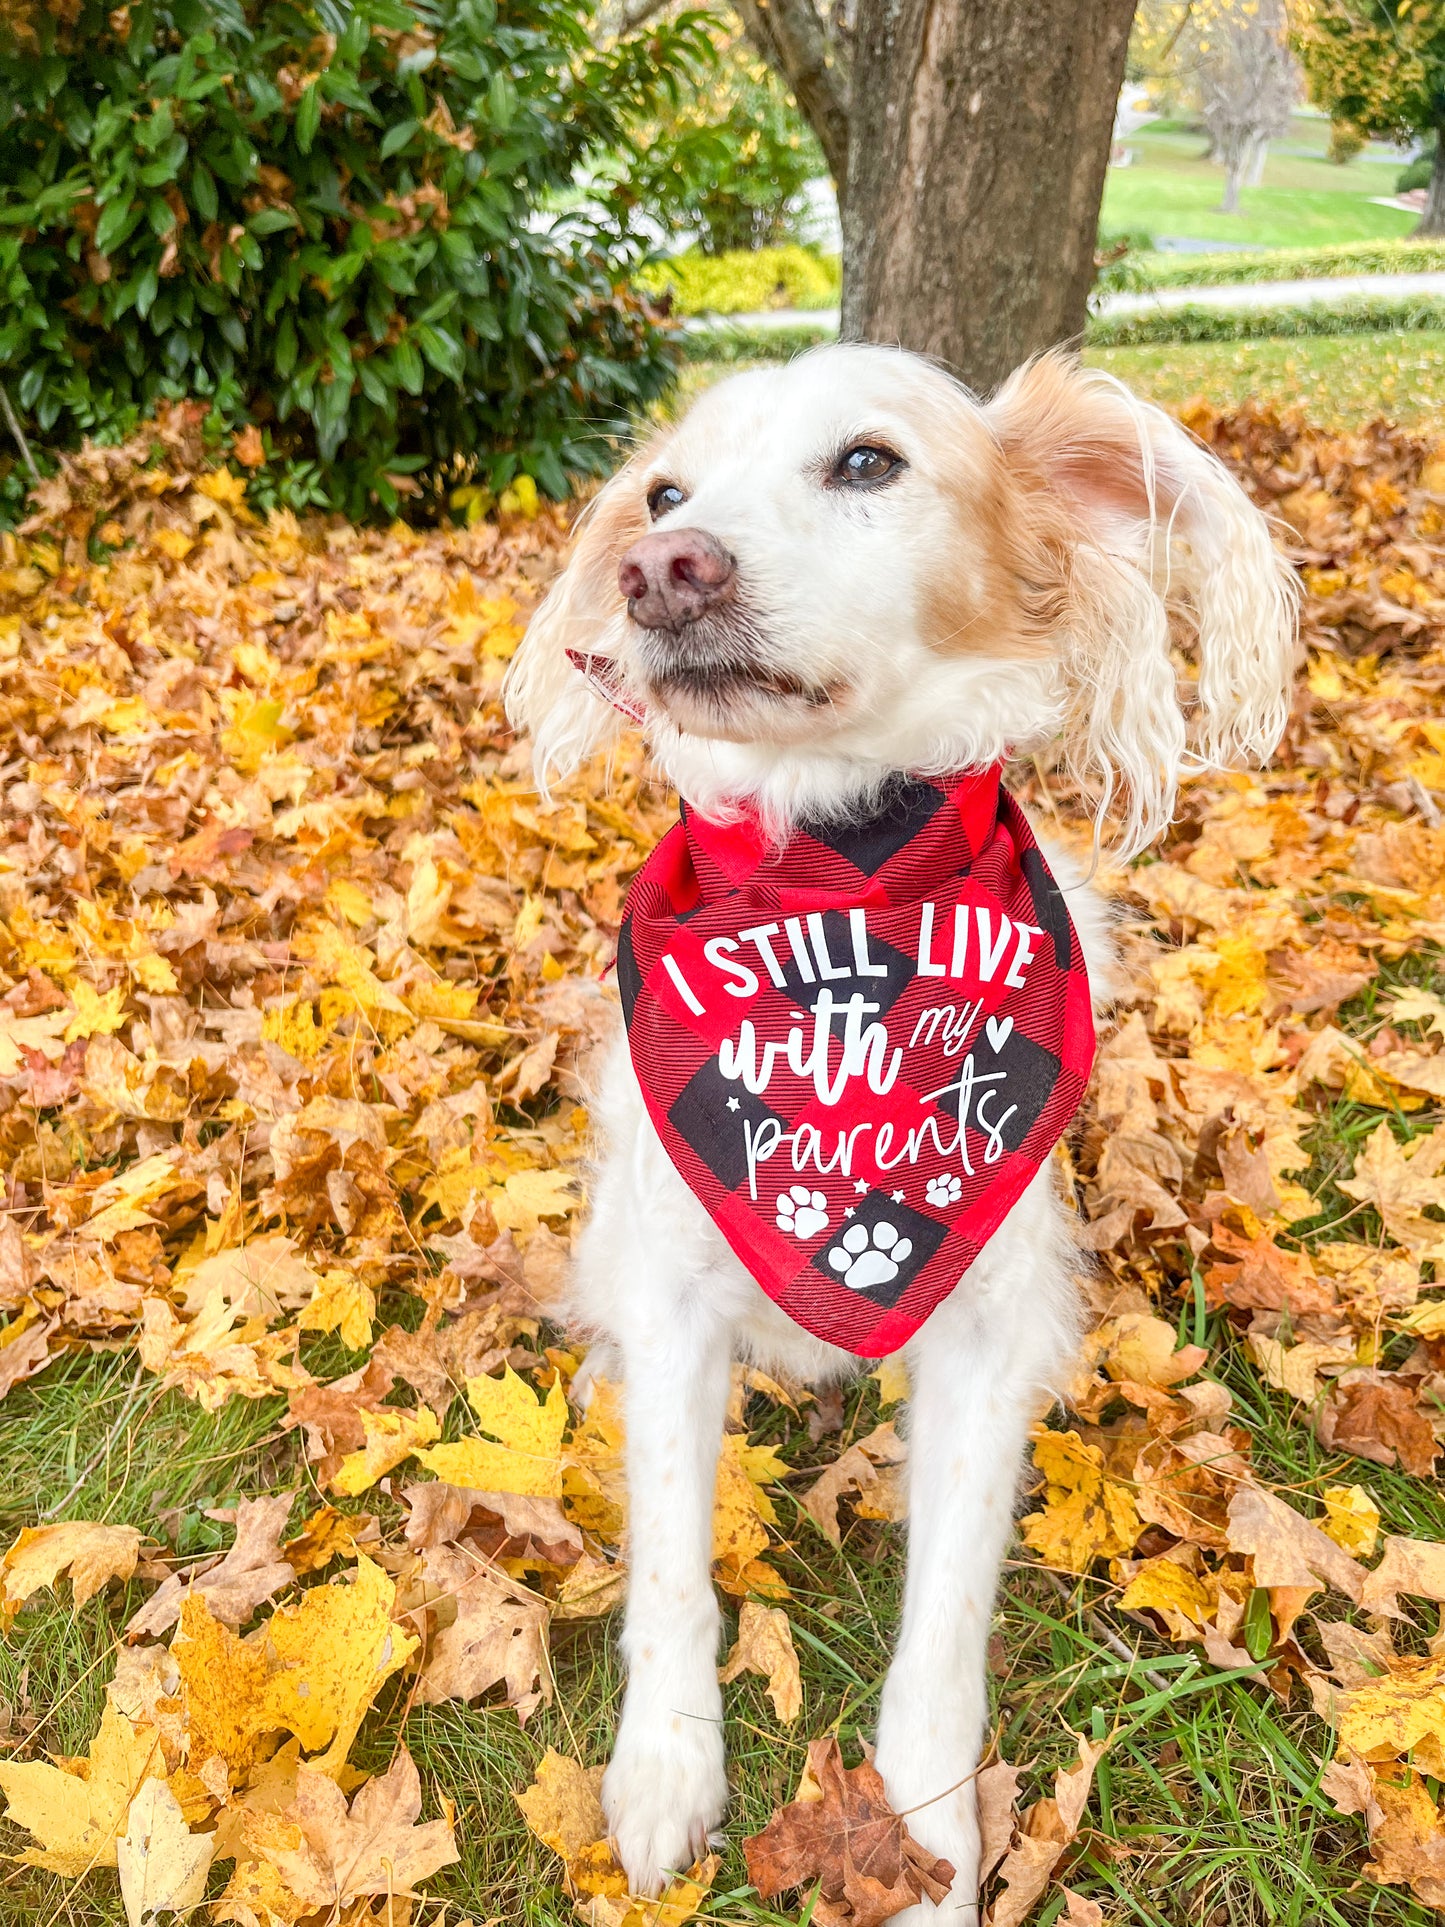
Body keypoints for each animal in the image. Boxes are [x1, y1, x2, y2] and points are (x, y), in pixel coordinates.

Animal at [508, 343, 1302, 1911]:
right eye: (664, 492)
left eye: (867, 462)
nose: (659, 569)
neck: (842, 885)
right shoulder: (677, 1292)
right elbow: (674, 1563)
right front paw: (664, 1767)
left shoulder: (993, 1330)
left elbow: (941, 1625)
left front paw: (926, 1834)